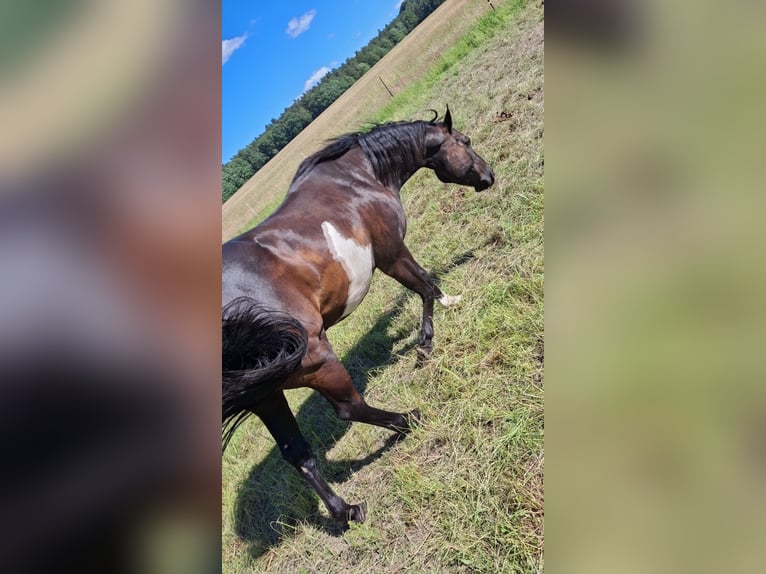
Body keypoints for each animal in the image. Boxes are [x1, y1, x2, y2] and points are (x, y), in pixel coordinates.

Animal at [222, 107, 495, 524]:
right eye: (464, 141)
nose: (488, 175)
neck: (357, 179)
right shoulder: (391, 252)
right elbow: (425, 285)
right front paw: (429, 339)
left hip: (266, 395)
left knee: (297, 453)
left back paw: (346, 510)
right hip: (318, 360)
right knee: (350, 408)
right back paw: (408, 419)